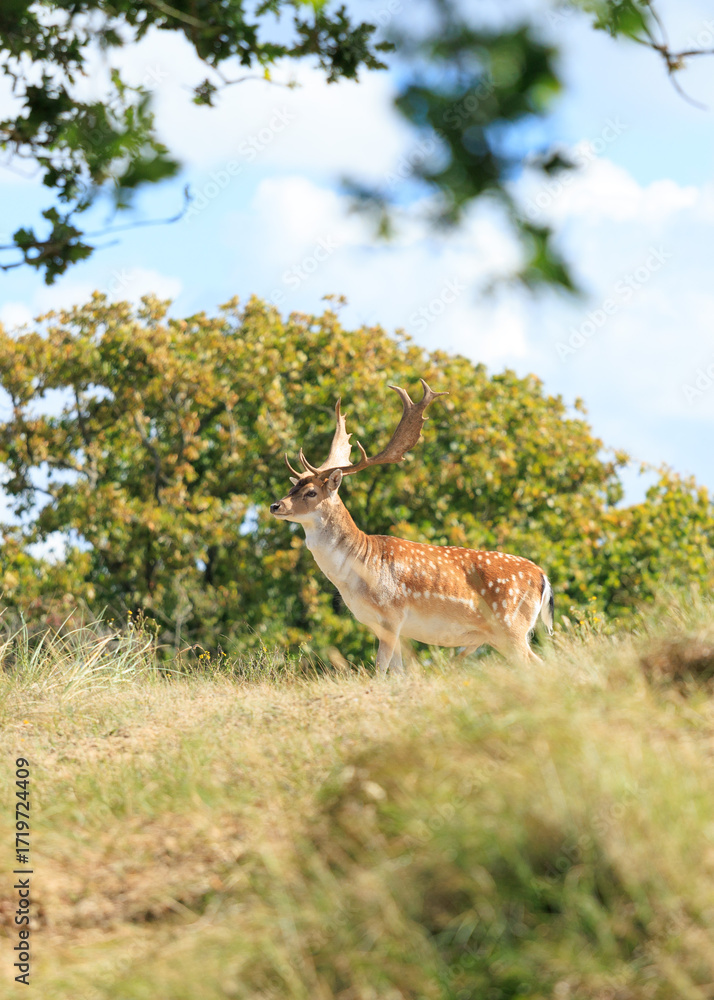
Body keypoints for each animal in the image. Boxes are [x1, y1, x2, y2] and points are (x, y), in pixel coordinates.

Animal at [269, 379, 553, 673]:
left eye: (311, 492)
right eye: (292, 487)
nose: (275, 506)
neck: (358, 570)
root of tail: (543, 577)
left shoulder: (391, 615)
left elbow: (379, 672)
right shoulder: (389, 628)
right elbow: (396, 673)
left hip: (511, 625)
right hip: (502, 636)